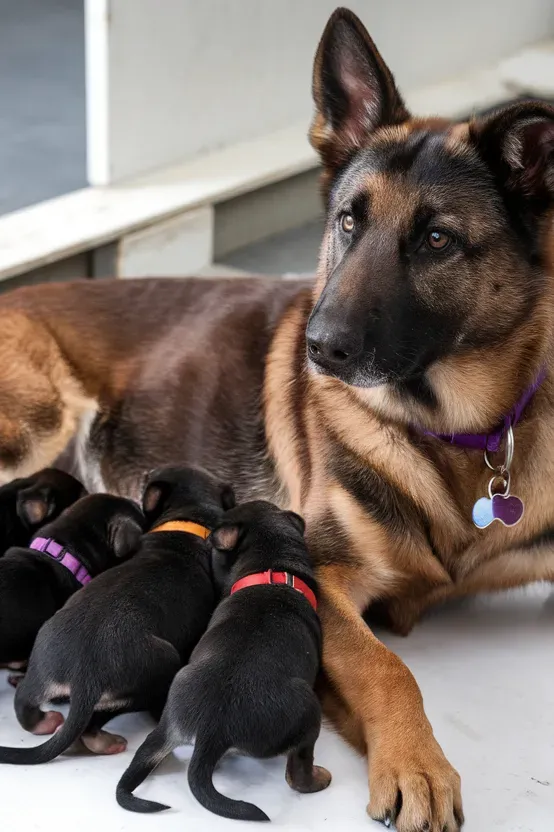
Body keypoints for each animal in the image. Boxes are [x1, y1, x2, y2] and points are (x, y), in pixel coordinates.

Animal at [0, 464, 234, 764]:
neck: (189, 517)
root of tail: (83, 676)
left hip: (43, 666)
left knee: (24, 701)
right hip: (158, 670)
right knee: (99, 720)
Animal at [116, 498, 328, 824]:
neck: (272, 569)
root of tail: (209, 734)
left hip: (166, 723)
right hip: (308, 713)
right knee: (298, 771)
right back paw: (319, 778)